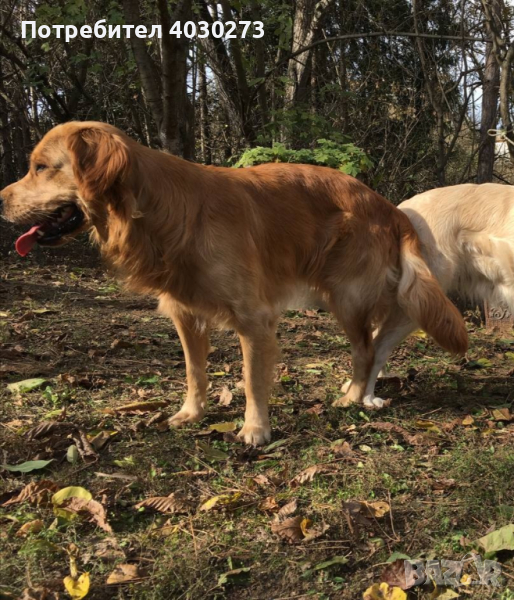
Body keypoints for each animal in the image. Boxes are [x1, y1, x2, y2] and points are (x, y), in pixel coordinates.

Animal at [0, 122, 464, 442]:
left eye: (41, 167)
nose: (0, 199)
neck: (159, 210)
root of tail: (389, 206)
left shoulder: (254, 319)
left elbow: (251, 379)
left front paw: (256, 429)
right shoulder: (185, 314)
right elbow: (195, 371)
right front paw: (192, 413)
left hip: (346, 298)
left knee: (366, 351)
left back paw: (353, 399)